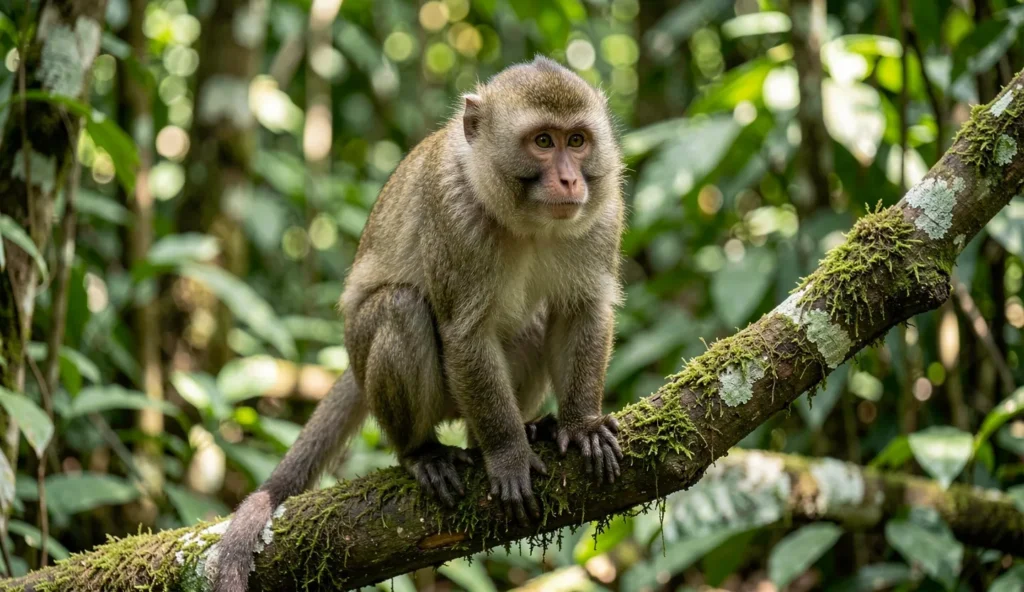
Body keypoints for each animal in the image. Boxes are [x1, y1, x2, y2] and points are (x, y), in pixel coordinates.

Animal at [214, 56, 625, 592]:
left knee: (534, 323)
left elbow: (581, 311)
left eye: (577, 141)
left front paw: (581, 425)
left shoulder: (604, 211)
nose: (572, 181)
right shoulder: (454, 215)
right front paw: (508, 453)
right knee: (401, 309)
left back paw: (520, 430)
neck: (527, 223)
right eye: (542, 141)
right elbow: (465, 334)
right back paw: (424, 453)